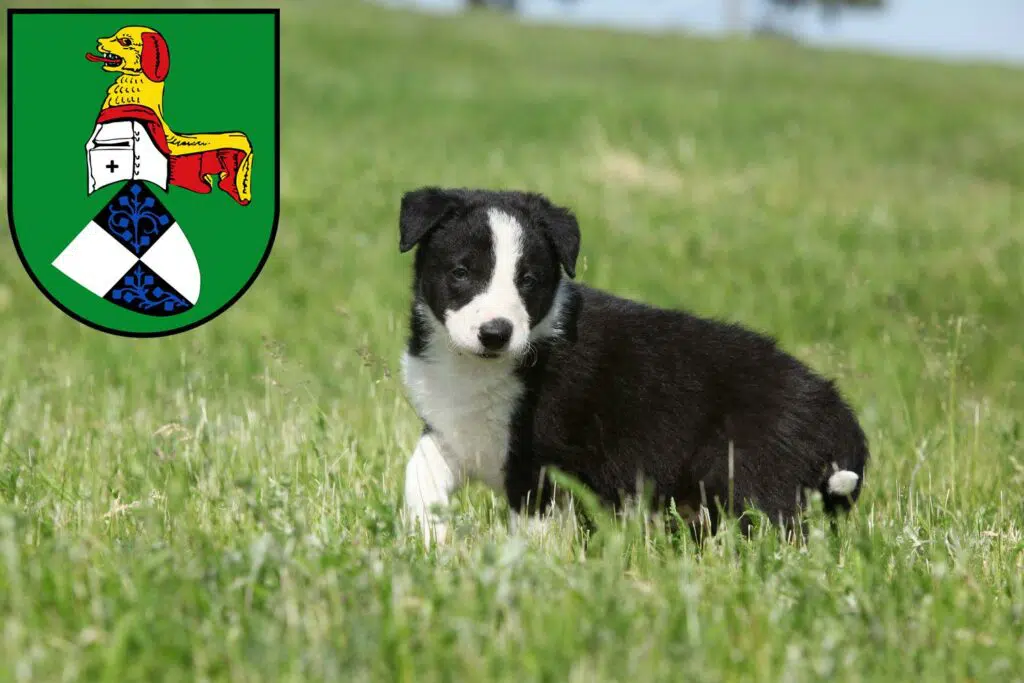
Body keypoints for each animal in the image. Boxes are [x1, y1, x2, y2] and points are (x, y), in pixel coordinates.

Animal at [395, 185, 868, 544]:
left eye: (528, 280)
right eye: (461, 272)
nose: (496, 332)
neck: (477, 368)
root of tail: (836, 410)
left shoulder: (538, 461)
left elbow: (532, 529)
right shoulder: (453, 430)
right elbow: (420, 473)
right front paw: (432, 542)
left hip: (751, 472)